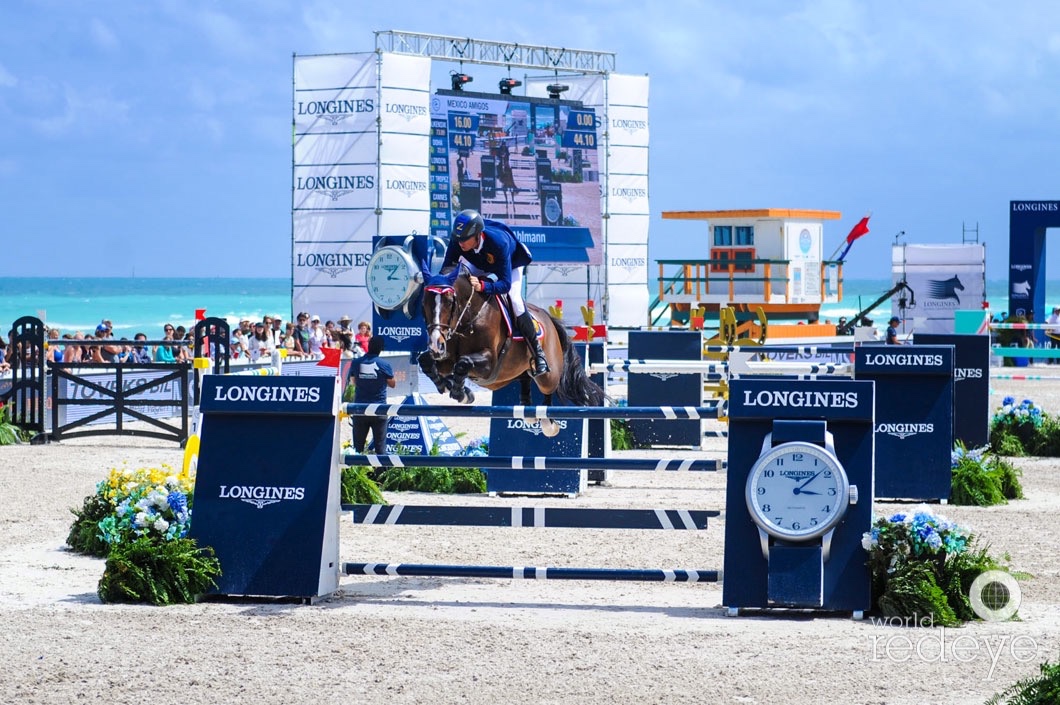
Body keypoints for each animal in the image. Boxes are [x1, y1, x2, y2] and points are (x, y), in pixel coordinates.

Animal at [417, 269, 610, 434]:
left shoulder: (489, 364)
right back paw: (528, 410)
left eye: (450, 302)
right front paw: (447, 385)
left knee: (548, 388)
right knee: (524, 379)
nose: (435, 344)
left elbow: (463, 362)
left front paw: (460, 393)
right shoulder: (445, 358)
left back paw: (548, 423)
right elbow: (426, 361)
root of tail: (549, 319)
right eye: (423, 303)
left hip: (548, 374)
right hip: (512, 372)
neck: (469, 318)